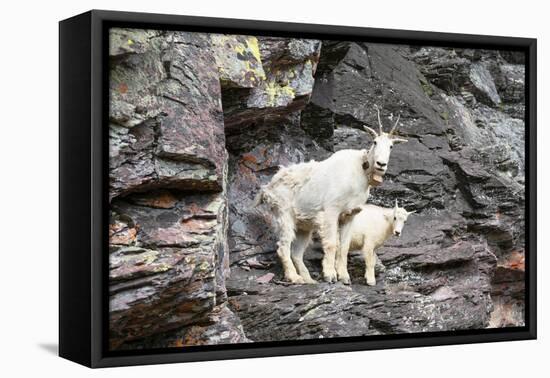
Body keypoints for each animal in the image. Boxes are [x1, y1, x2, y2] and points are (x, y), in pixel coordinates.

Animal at [256, 106, 408, 284]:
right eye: (374, 142)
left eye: (391, 146)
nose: (381, 164)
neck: (359, 173)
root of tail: (268, 187)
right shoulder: (331, 210)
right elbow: (331, 243)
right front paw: (330, 275)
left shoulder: (350, 215)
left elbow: (344, 246)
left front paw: (344, 277)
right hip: (284, 213)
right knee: (283, 247)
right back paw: (294, 277)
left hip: (303, 225)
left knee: (296, 252)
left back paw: (309, 280)